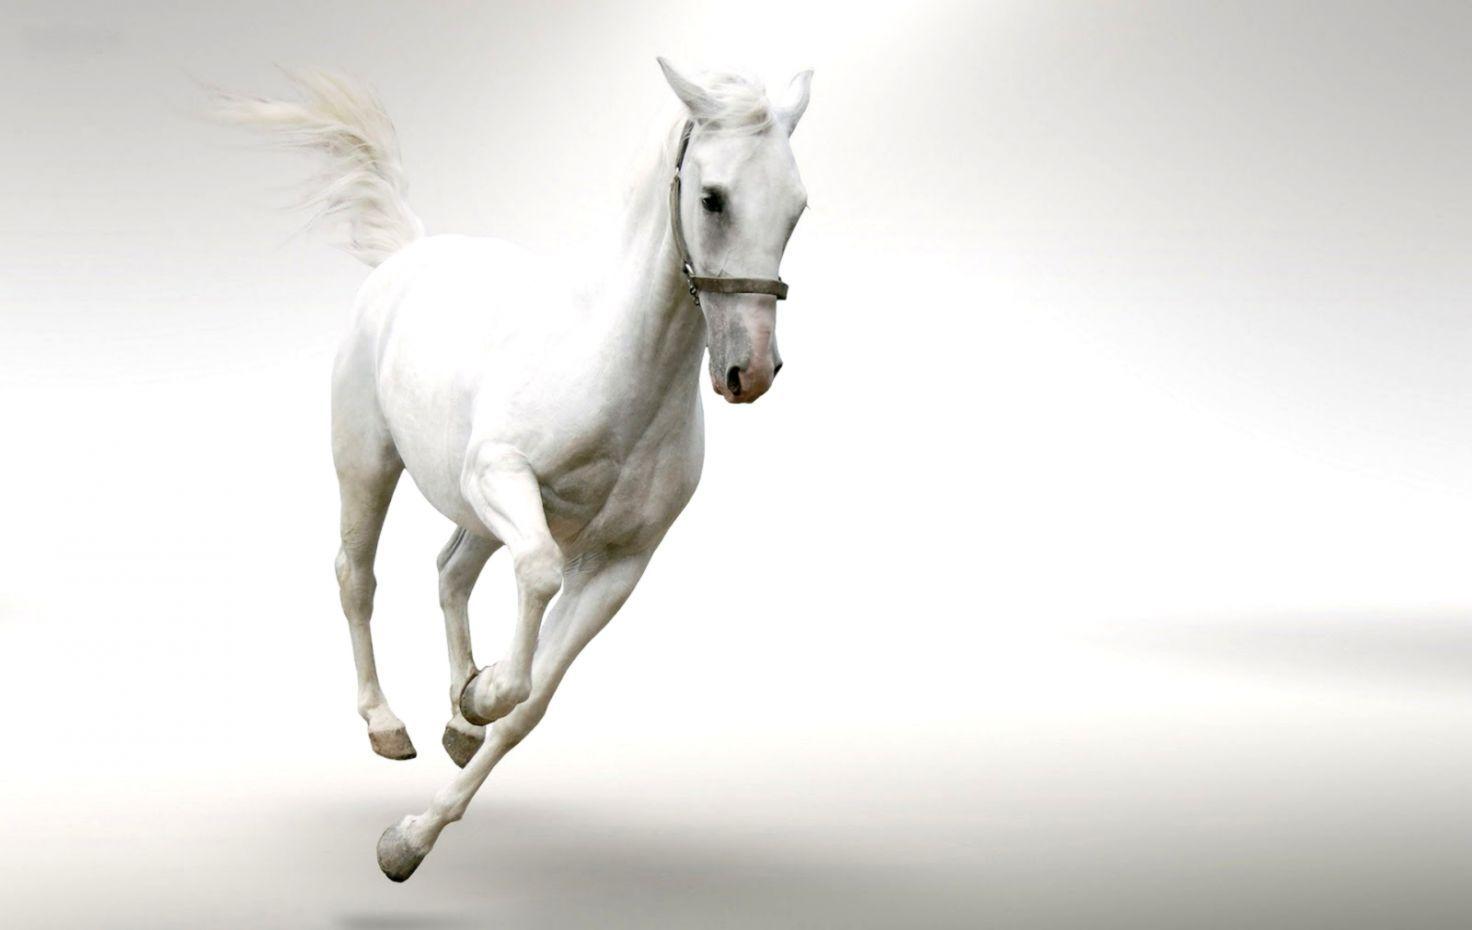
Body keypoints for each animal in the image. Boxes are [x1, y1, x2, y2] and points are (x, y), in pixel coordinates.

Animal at [213, 59, 813, 881]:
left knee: (450, 571)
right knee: (356, 576)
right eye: (713, 197)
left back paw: (454, 718)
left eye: (797, 208)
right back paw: (386, 723)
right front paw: (480, 698)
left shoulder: (621, 562)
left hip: (472, 514)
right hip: (369, 463)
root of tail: (409, 253)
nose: (749, 372)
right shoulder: (501, 479)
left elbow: (530, 707)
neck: (611, 369)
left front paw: (415, 828)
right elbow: (535, 578)